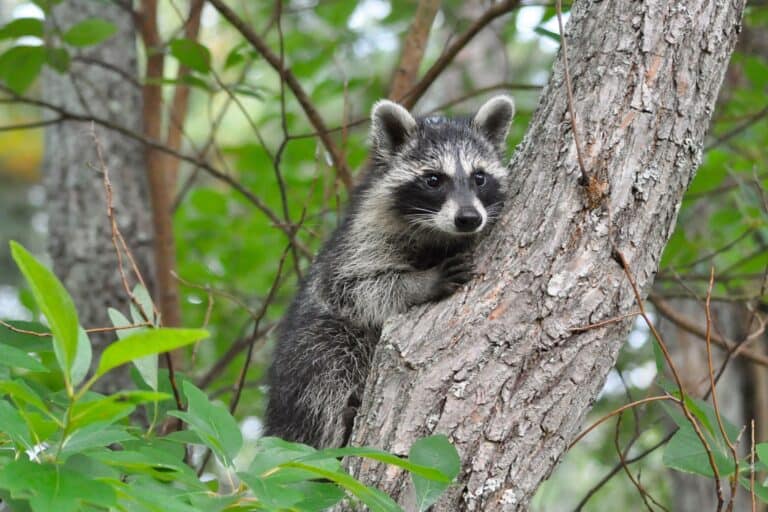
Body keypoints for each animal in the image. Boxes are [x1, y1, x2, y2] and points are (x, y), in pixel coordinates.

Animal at [264, 95, 515, 448]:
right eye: (434, 180)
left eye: (479, 177)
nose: (469, 218)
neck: (439, 234)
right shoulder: (360, 238)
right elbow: (355, 288)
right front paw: (420, 283)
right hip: (308, 356)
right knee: (327, 370)